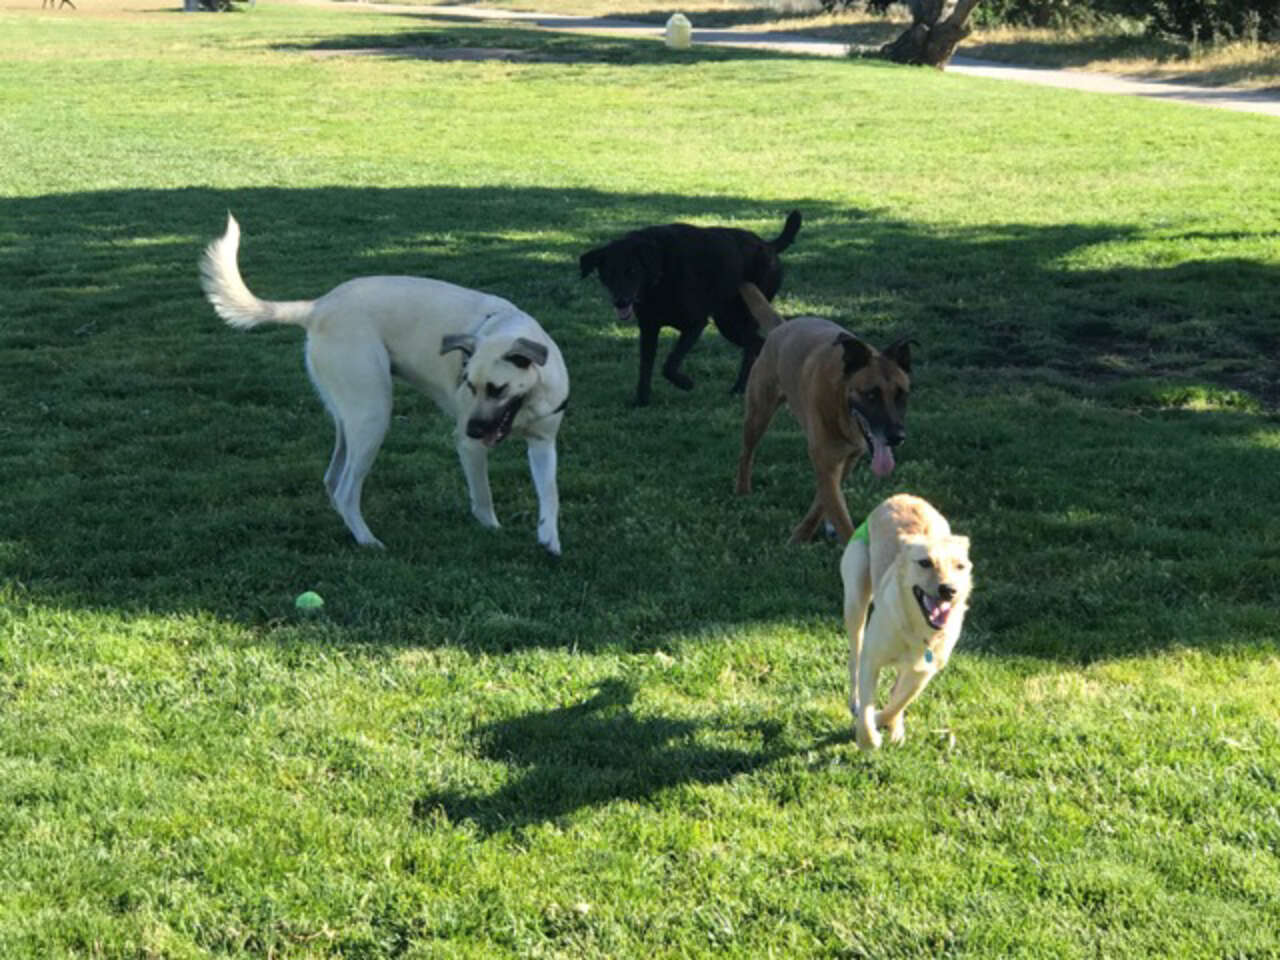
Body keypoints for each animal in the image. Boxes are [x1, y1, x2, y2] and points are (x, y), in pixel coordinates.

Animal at [197, 213, 568, 552]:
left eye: (497, 389)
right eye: (469, 385)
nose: (473, 428)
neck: (530, 400)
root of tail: (317, 307)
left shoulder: (543, 444)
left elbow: (551, 495)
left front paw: (550, 539)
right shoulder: (471, 448)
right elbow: (483, 497)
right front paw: (492, 529)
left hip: (351, 419)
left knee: (333, 479)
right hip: (372, 415)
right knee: (346, 490)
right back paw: (367, 540)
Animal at [581, 209, 798, 407]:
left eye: (632, 271)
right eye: (608, 273)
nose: (621, 302)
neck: (660, 269)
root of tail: (768, 245)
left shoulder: (695, 324)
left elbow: (669, 364)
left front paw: (685, 383)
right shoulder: (649, 328)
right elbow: (645, 367)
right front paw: (641, 401)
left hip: (740, 317)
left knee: (756, 346)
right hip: (728, 323)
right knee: (755, 345)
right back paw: (740, 389)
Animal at [737, 281, 916, 545]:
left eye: (901, 394)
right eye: (871, 395)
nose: (897, 437)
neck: (842, 404)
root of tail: (781, 326)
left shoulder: (847, 458)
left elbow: (824, 501)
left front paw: (807, 531)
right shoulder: (826, 458)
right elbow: (836, 509)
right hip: (758, 413)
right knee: (747, 452)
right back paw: (742, 490)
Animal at [839, 499, 967, 757]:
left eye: (960, 566)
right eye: (925, 562)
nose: (949, 590)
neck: (918, 629)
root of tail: (901, 497)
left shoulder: (924, 672)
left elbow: (899, 701)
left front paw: (887, 723)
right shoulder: (872, 660)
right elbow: (867, 706)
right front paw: (868, 738)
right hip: (855, 600)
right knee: (854, 661)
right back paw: (855, 703)